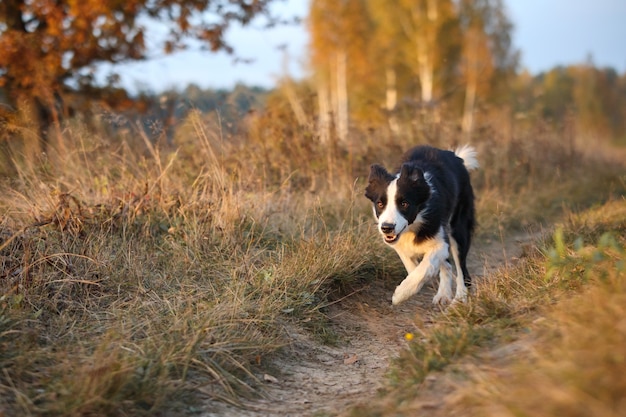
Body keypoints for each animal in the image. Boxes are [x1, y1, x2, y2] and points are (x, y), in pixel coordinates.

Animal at [364, 145, 476, 304]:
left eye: (404, 204)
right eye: (380, 204)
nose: (387, 228)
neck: (413, 225)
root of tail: (457, 158)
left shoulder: (440, 241)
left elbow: (426, 266)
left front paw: (400, 294)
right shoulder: (400, 244)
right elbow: (412, 265)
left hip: (458, 227)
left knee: (462, 270)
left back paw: (459, 299)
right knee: (447, 264)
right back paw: (443, 294)